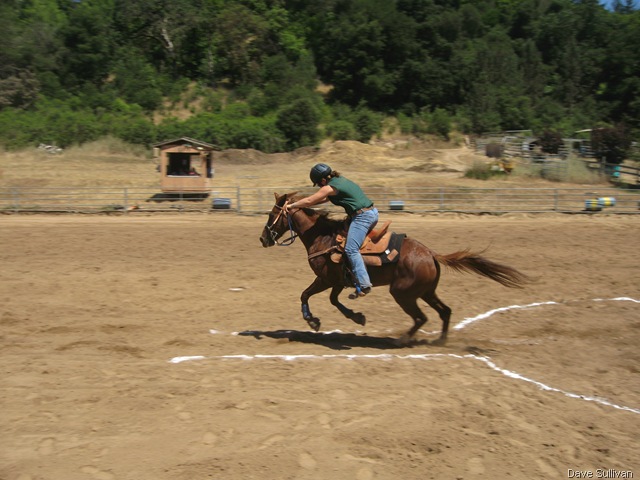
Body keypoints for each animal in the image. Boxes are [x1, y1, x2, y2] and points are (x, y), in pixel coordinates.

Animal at [259, 192, 530, 345]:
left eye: (272, 214)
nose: (263, 239)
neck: (323, 238)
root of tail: (430, 254)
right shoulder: (339, 281)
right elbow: (334, 301)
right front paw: (356, 317)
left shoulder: (326, 279)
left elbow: (305, 294)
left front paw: (312, 321)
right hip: (426, 292)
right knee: (445, 312)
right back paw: (440, 341)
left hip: (403, 293)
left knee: (422, 317)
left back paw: (403, 340)